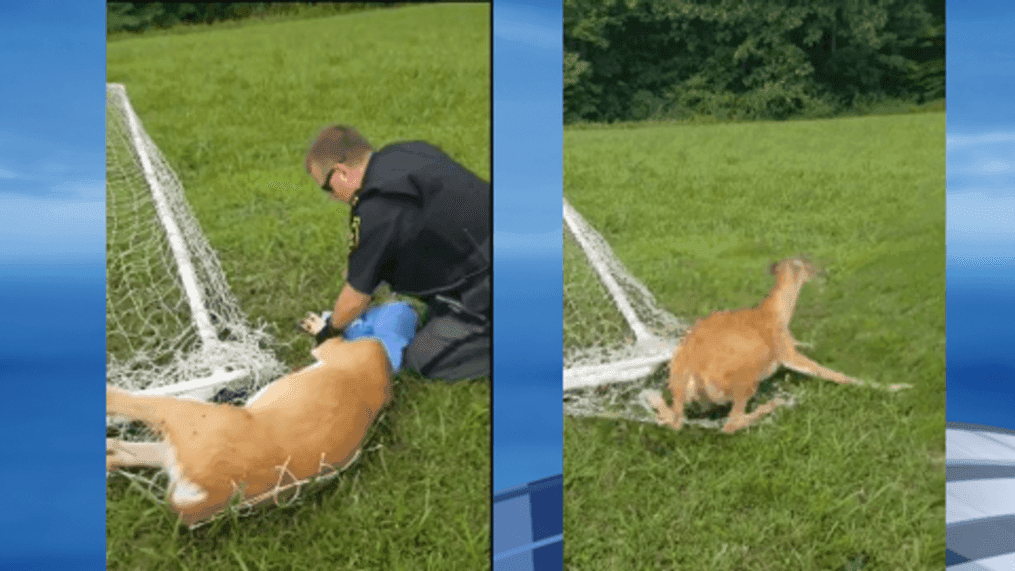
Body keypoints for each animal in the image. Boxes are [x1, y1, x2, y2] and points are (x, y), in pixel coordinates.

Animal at [645, 259, 860, 434]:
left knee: (676, 419)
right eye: (810, 264)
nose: (825, 272)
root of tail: (693, 370)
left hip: (677, 369)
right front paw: (861, 382)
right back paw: (773, 405)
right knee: (731, 424)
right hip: (745, 376)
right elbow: (822, 370)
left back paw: (653, 398)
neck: (776, 313)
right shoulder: (784, 350)